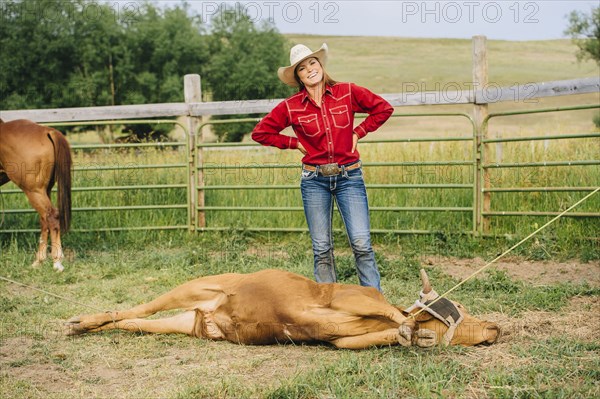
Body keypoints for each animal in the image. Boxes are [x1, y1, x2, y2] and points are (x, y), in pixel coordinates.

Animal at [0, 119, 72, 272]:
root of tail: (47, 131)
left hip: (34, 190)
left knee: (51, 216)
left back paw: (57, 262)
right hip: (45, 190)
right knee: (45, 219)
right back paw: (39, 261)